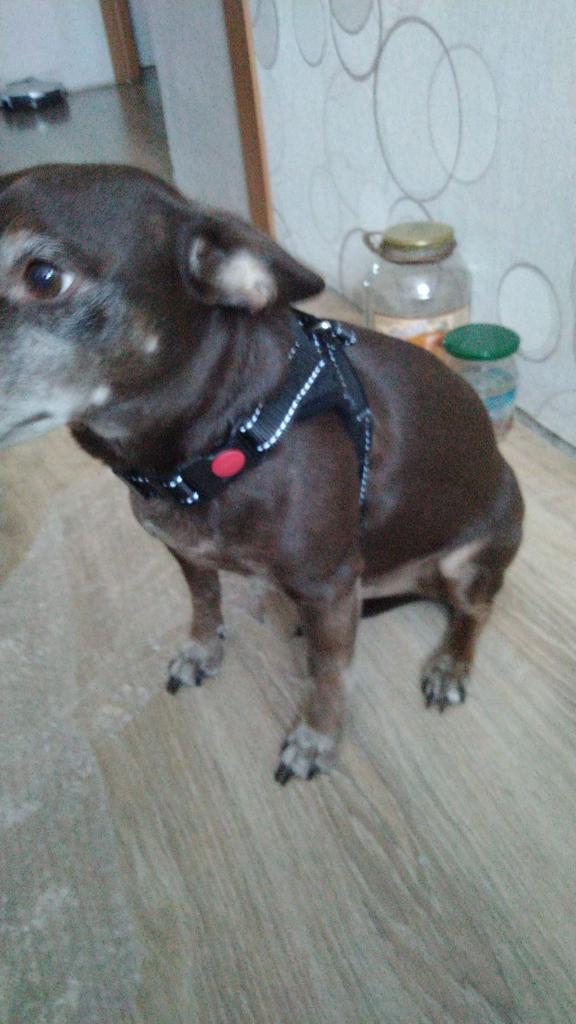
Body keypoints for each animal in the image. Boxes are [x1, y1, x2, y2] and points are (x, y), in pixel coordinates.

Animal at [0, 164, 524, 782]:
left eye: (43, 276)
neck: (224, 438)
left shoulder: (328, 585)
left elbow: (329, 674)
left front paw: (317, 739)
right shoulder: (186, 551)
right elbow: (205, 603)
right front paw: (203, 651)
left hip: (468, 560)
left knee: (475, 610)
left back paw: (449, 664)